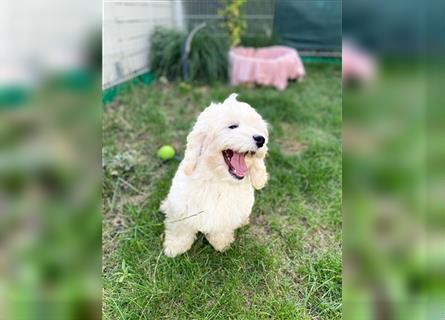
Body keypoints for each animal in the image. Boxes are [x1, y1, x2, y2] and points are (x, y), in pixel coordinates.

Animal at [161, 93, 268, 258]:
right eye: (232, 126)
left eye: (256, 128)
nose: (261, 139)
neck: (218, 179)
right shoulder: (182, 209)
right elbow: (181, 229)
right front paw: (175, 247)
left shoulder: (226, 214)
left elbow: (221, 229)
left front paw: (221, 243)